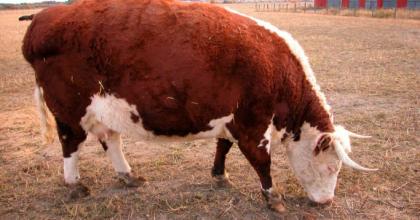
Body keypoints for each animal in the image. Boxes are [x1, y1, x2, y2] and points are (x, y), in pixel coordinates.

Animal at [22, 0, 378, 212]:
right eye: (331, 168)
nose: (327, 201)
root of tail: (44, 16)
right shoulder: (252, 122)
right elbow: (261, 161)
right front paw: (272, 197)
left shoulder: (232, 118)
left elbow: (223, 146)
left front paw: (219, 176)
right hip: (69, 109)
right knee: (70, 144)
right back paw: (74, 184)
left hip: (106, 108)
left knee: (111, 140)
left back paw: (128, 176)